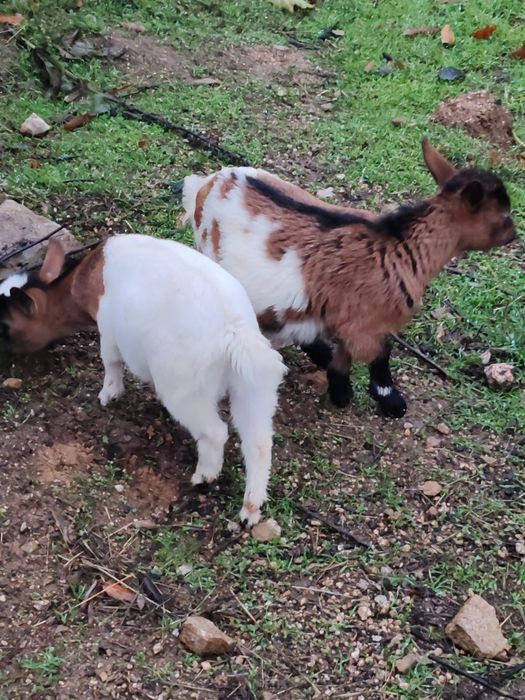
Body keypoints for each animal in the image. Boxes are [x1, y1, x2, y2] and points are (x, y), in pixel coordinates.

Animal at [0, 234, 286, 524]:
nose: (6, 355)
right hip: (253, 385)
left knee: (215, 432)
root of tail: (236, 331)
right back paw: (250, 510)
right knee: (259, 442)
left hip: (184, 388)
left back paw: (204, 476)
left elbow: (111, 360)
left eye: (6, 326)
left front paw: (109, 394)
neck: (84, 281)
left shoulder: (107, 325)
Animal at [182, 138, 516, 417]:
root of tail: (210, 182)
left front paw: (339, 389)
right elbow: (381, 354)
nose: (514, 235)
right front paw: (389, 400)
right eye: (504, 215)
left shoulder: (346, 317)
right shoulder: (365, 323)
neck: (399, 248)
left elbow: (345, 353)